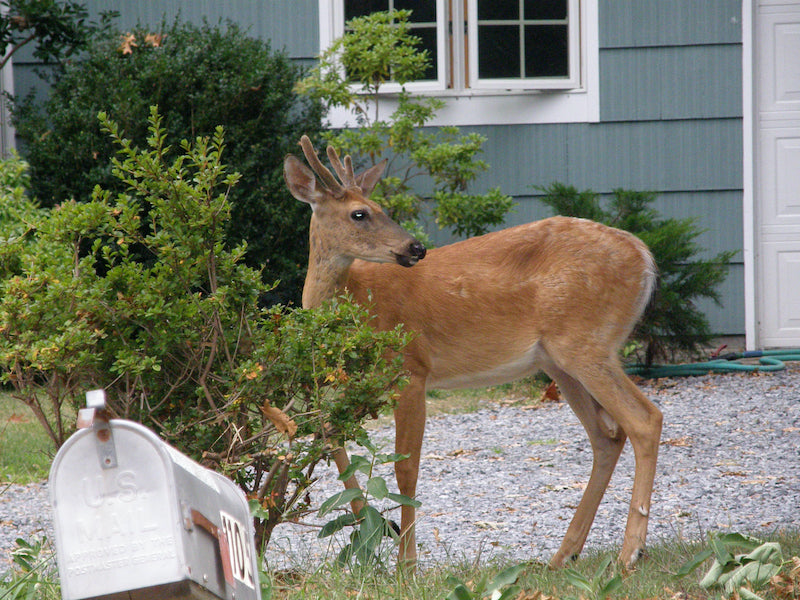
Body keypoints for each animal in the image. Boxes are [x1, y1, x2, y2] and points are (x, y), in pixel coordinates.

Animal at [283, 135, 663, 570]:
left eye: (380, 208)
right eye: (360, 213)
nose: (416, 247)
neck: (359, 299)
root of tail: (643, 256)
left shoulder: (411, 368)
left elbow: (406, 469)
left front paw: (405, 566)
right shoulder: (353, 384)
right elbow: (330, 439)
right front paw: (374, 532)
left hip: (586, 342)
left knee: (644, 420)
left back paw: (629, 553)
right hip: (559, 361)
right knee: (606, 436)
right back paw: (563, 555)